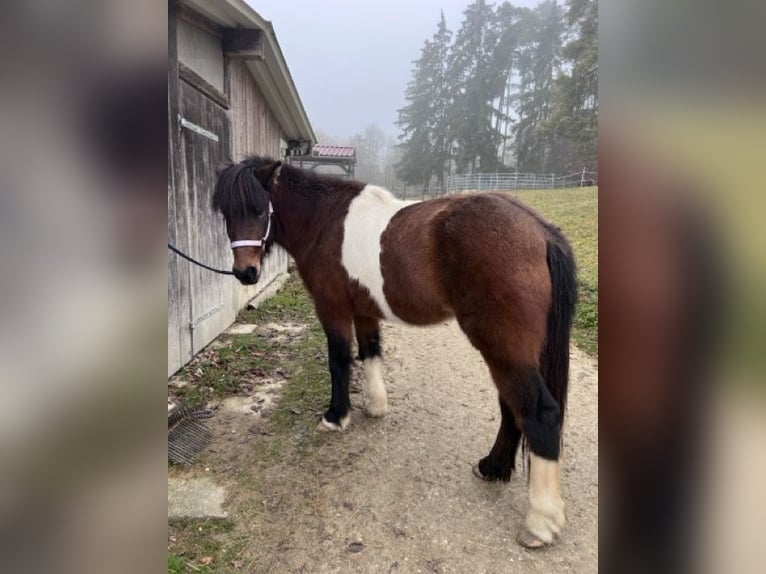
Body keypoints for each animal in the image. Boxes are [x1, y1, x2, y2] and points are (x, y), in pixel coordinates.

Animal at [212, 156, 577, 548]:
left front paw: (336, 416)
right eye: (226, 212)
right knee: (512, 405)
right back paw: (493, 467)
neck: (324, 221)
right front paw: (375, 406)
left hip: (502, 346)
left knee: (537, 411)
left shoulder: (332, 308)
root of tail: (541, 231)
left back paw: (541, 521)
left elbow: (339, 361)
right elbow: (370, 353)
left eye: (258, 208)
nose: (246, 272)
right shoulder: (363, 311)